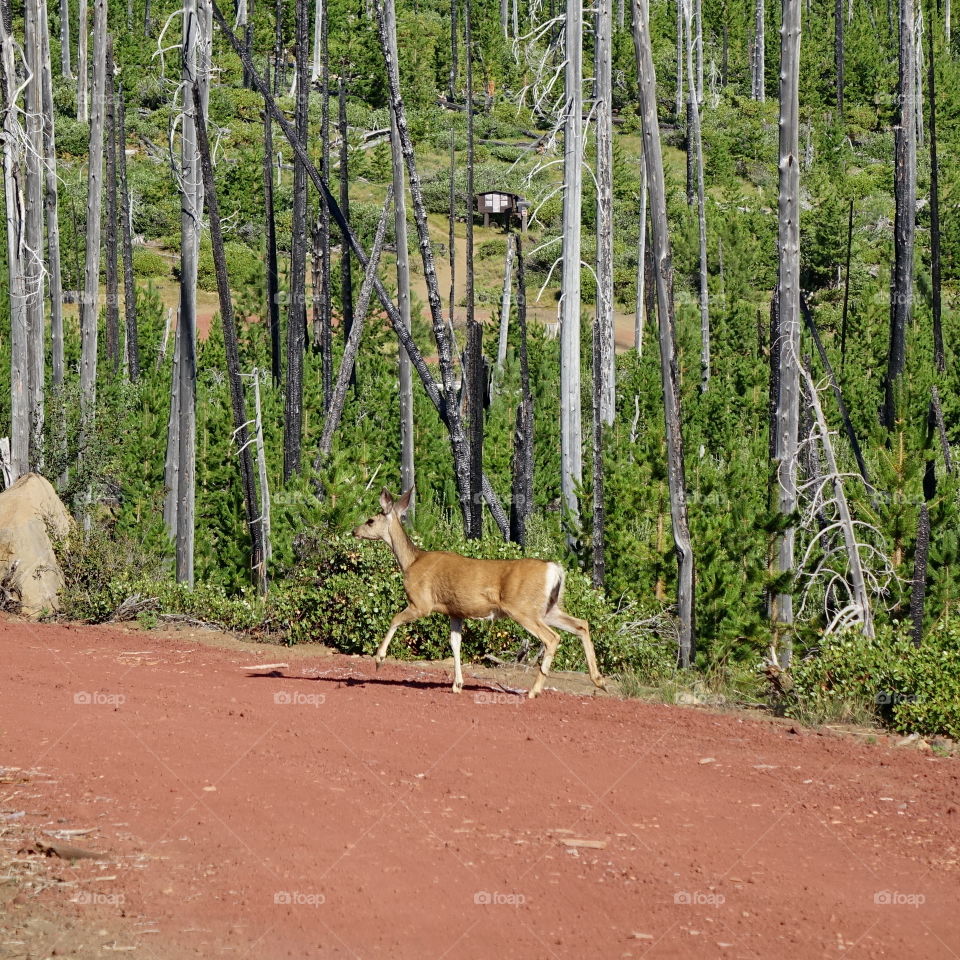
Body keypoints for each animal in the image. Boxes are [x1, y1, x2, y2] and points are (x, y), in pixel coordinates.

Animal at [352, 488, 608, 696]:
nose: (354, 530)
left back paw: (534, 691)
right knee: (581, 624)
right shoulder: (455, 611)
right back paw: (599, 681)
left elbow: (395, 619)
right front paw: (457, 684)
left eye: (370, 520)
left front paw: (378, 659)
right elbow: (455, 643)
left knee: (552, 638)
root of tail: (554, 569)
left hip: (524, 608)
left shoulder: (421, 603)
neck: (411, 562)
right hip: (549, 608)